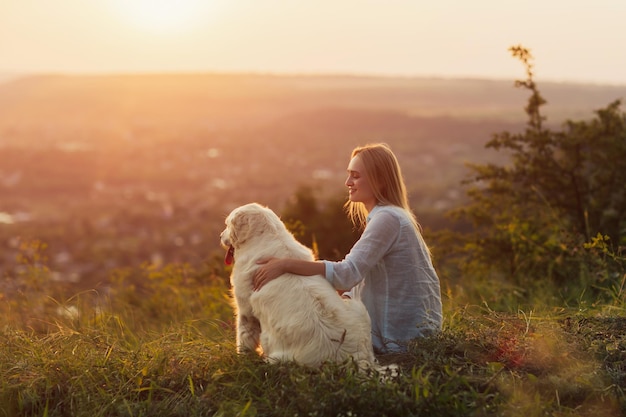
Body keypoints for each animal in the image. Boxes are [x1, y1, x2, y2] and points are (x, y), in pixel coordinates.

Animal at [221, 202, 376, 368]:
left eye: (227, 225)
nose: (220, 236)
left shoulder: (245, 311)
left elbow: (244, 338)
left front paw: (241, 359)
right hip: (357, 306)